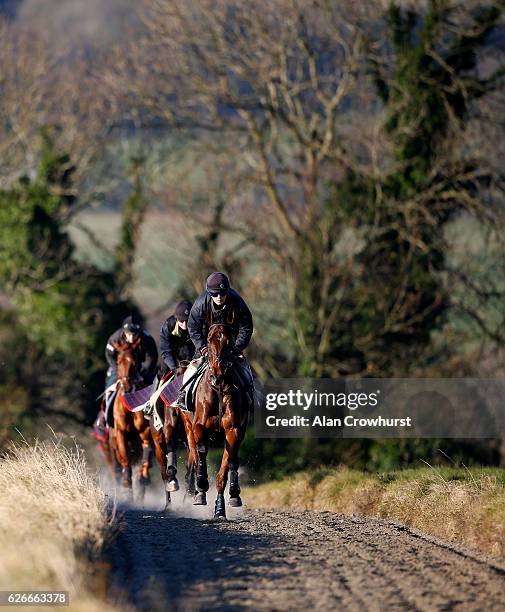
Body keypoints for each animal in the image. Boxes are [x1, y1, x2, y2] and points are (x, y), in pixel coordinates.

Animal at [108, 340, 152, 498]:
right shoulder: (121, 433)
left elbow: (146, 457)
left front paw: (142, 479)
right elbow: (125, 461)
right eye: (118, 362)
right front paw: (127, 484)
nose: (126, 387)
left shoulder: (145, 431)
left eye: (134, 362)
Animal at [183, 322, 250, 520]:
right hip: (188, 428)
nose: (217, 376)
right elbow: (201, 452)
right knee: (195, 455)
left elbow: (227, 467)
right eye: (208, 341)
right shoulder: (198, 427)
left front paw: (223, 506)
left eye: (229, 343)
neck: (219, 390)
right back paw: (195, 491)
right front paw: (201, 487)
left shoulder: (234, 430)